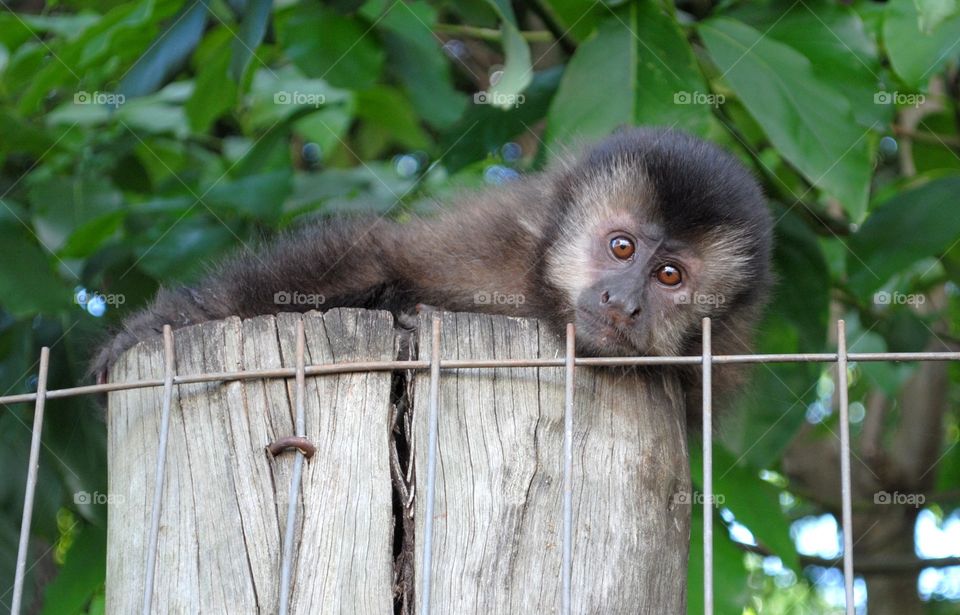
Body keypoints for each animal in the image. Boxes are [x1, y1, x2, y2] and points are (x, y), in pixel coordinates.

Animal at [92, 127, 773, 422]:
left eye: (669, 277)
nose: (622, 301)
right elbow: (378, 255)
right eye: (622, 247)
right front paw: (153, 327)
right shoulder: (490, 249)